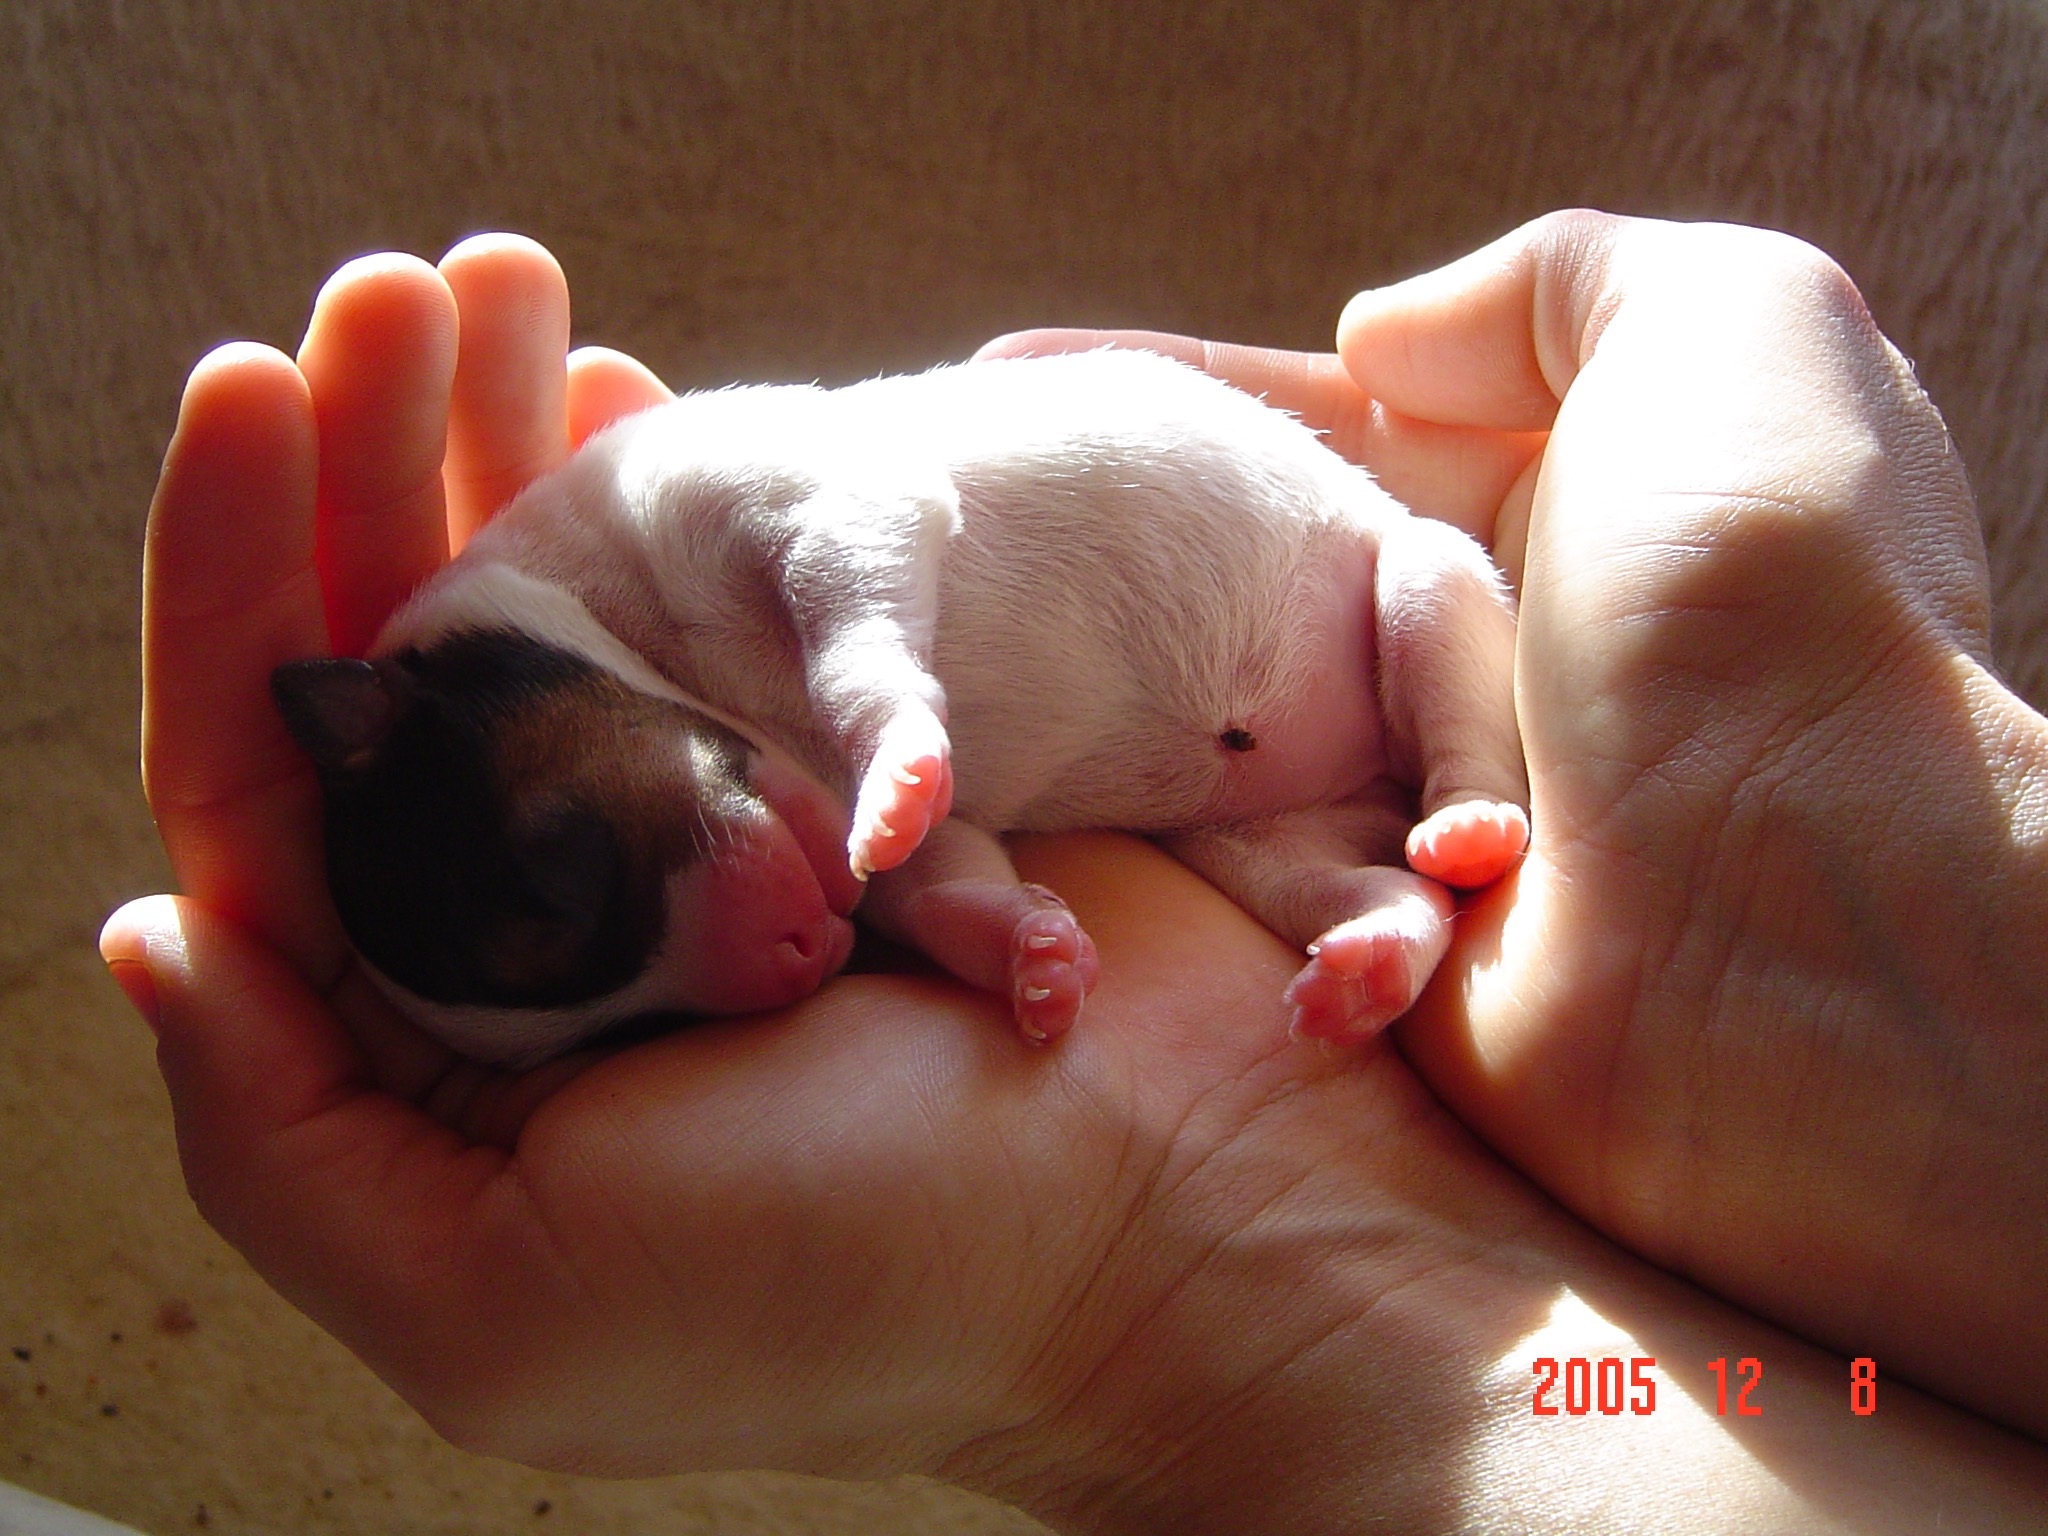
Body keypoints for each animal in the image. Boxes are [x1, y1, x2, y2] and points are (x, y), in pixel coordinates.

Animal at [271, 348, 1528, 1069]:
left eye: (558, 876)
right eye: (635, 1033)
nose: (807, 957)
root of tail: (1379, 791)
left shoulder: (805, 504)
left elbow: (852, 632)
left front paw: (897, 765)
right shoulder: (902, 853)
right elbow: (943, 882)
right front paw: (1026, 953)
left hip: (1423, 578)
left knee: (1455, 706)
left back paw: (1468, 822)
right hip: (1256, 844)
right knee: (1377, 893)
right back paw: (1368, 958)